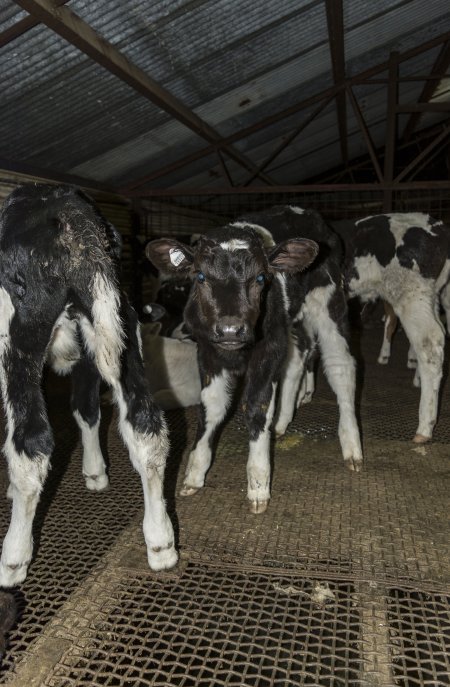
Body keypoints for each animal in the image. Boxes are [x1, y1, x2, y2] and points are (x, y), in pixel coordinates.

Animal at [0, 185, 178, 588]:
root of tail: (67, 208)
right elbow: (88, 410)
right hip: (118, 327)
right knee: (143, 427)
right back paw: (160, 542)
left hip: (16, 341)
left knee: (31, 443)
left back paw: (13, 558)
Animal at [146, 207, 364, 512]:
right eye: (200, 276)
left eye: (261, 278)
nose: (230, 329)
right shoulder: (207, 351)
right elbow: (211, 406)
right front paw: (195, 472)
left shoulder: (267, 349)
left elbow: (256, 406)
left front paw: (259, 482)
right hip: (292, 320)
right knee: (298, 357)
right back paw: (283, 422)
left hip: (330, 301)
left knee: (340, 366)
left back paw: (352, 445)